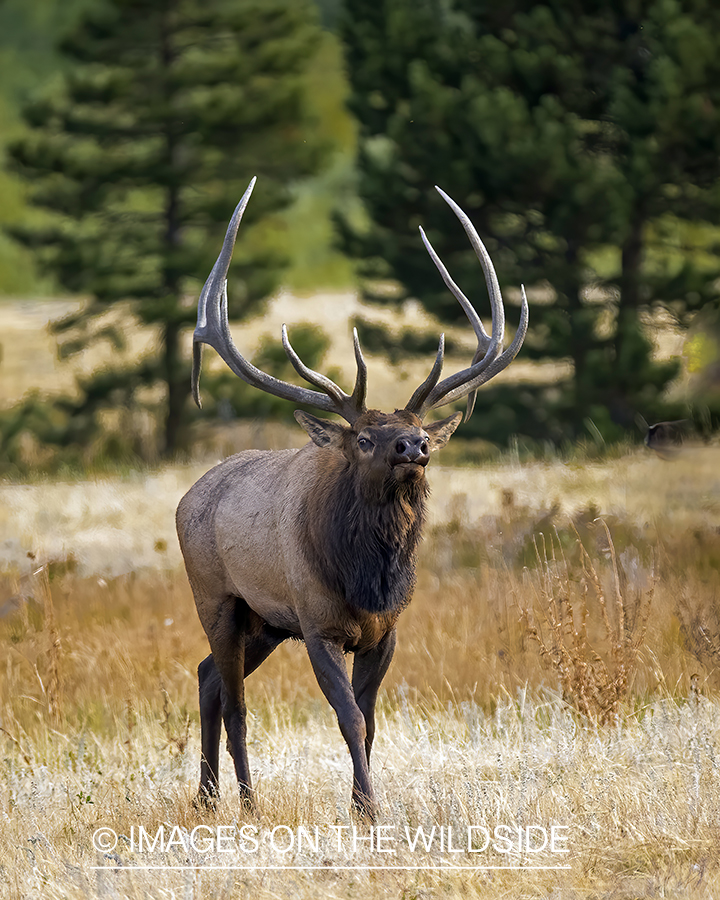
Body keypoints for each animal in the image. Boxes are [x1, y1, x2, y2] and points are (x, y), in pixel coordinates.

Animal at [177, 179, 528, 820]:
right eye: (364, 438)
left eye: (417, 427)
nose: (414, 445)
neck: (369, 580)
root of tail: (187, 498)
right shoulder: (319, 625)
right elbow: (347, 719)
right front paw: (369, 807)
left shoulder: (385, 631)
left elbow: (369, 721)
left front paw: (364, 803)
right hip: (217, 597)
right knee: (233, 699)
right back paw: (246, 801)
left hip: (266, 622)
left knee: (208, 673)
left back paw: (209, 798)